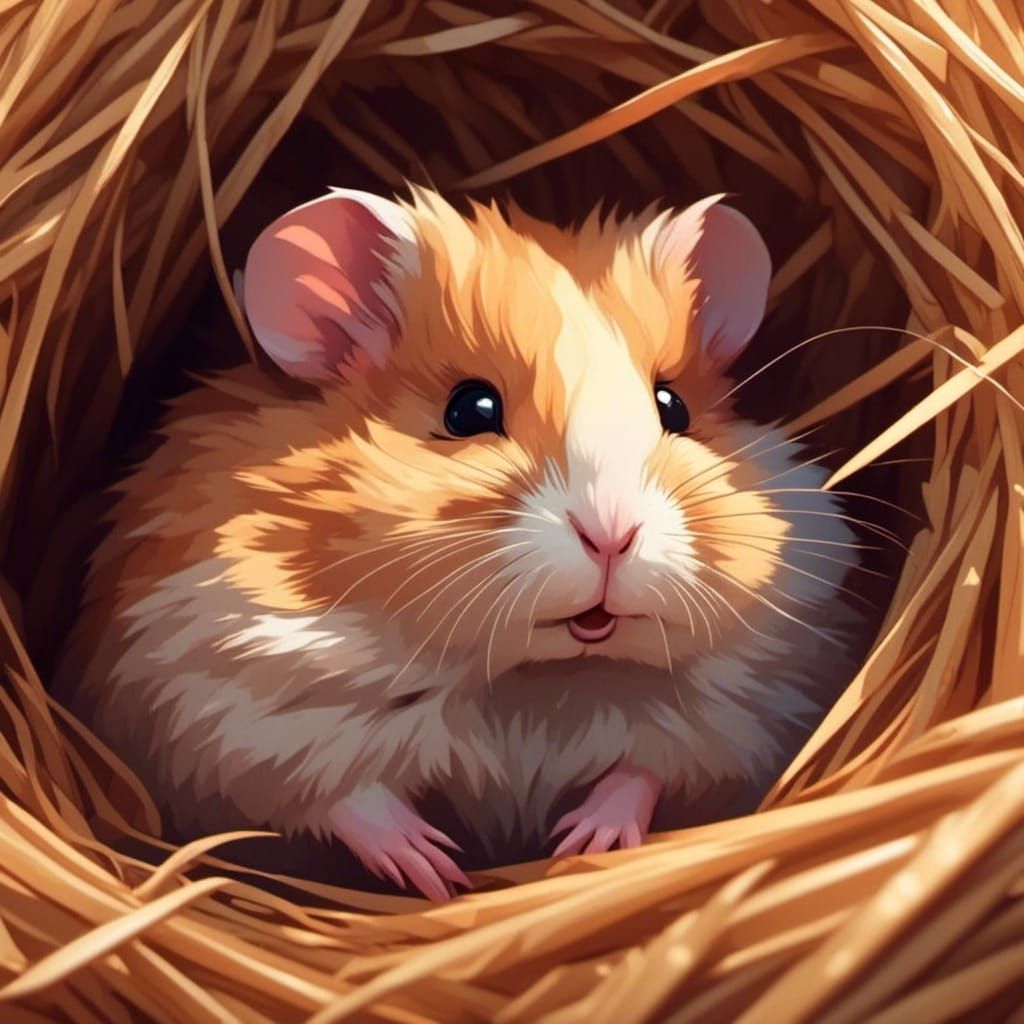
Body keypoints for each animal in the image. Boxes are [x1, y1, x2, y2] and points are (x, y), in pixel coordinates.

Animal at [54, 186, 865, 901]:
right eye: (469, 409)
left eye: (674, 408)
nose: (612, 535)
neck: (530, 679)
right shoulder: (221, 705)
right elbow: (344, 796)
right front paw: (436, 870)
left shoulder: (742, 716)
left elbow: (646, 773)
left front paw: (580, 843)